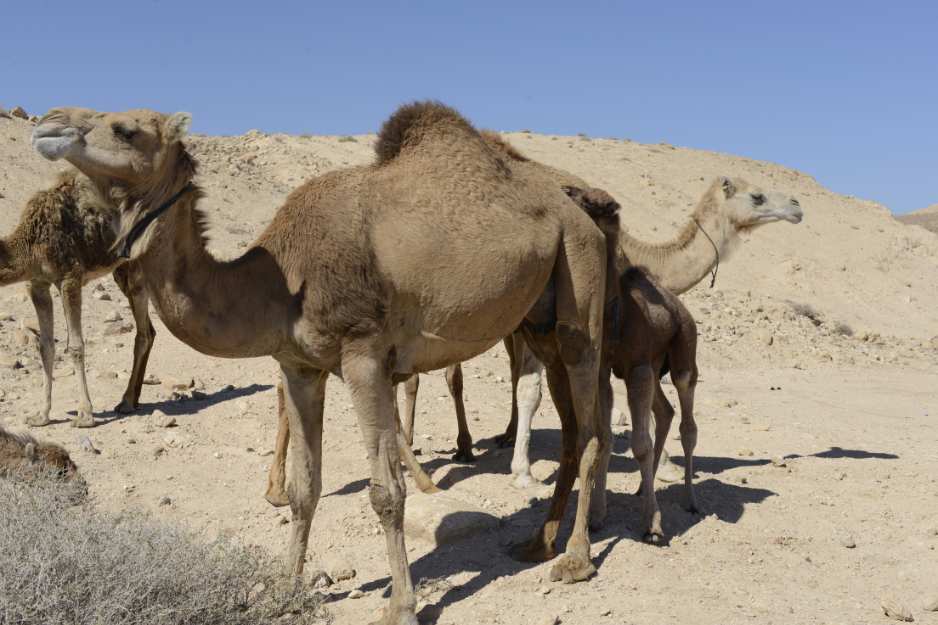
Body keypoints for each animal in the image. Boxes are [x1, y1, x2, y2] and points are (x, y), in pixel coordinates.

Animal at [0, 171, 159, 428]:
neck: (30, 244)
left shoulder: (70, 278)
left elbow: (75, 346)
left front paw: (85, 415)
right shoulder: (37, 284)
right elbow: (45, 346)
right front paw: (41, 415)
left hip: (138, 260)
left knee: (143, 331)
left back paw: (126, 402)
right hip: (120, 269)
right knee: (150, 330)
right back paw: (132, 400)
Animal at [32, 101, 615, 624]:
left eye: (124, 128)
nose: (47, 123)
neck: (279, 285)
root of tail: (578, 211)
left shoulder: (364, 355)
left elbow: (386, 492)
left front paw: (401, 608)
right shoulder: (299, 367)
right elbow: (304, 488)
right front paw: (286, 589)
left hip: (579, 277)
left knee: (591, 430)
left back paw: (575, 559)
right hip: (538, 322)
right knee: (570, 430)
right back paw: (538, 543)